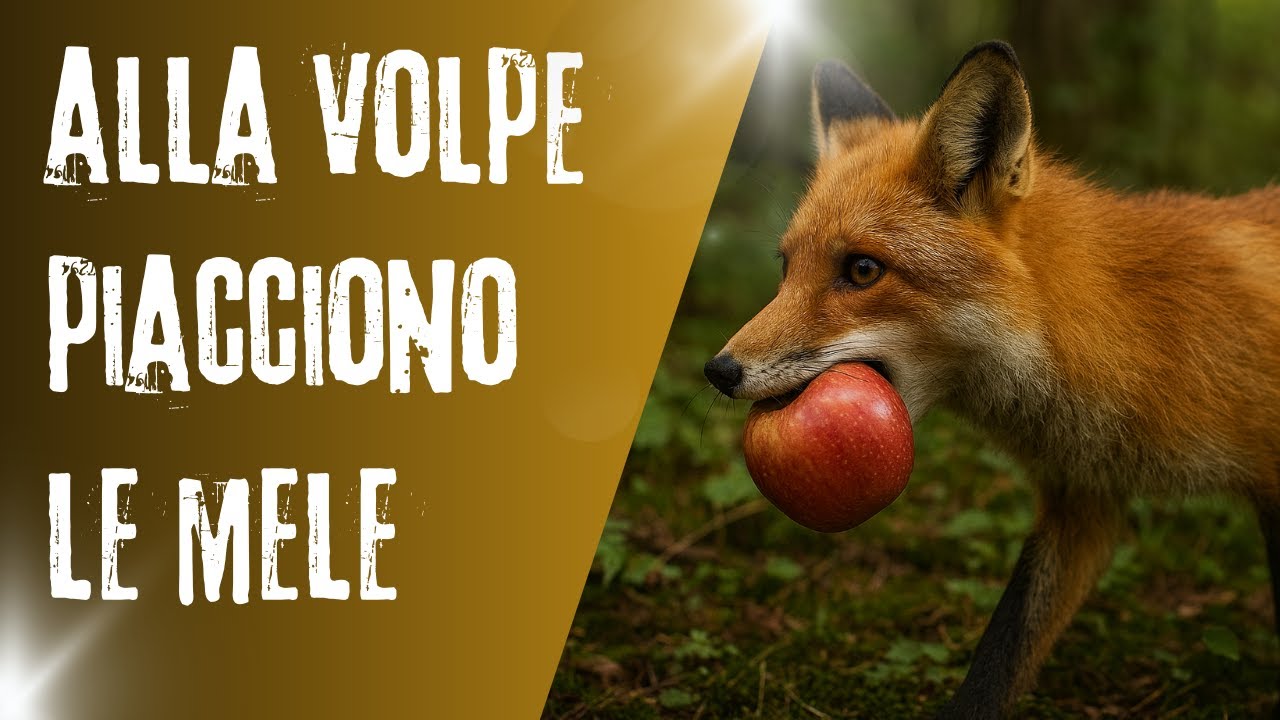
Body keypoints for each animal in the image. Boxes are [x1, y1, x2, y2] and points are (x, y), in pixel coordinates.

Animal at [704, 41, 1280, 718]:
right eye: (786, 267)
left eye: (863, 270)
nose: (718, 370)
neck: (1143, 332)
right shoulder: (1082, 501)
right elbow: (1000, 659)